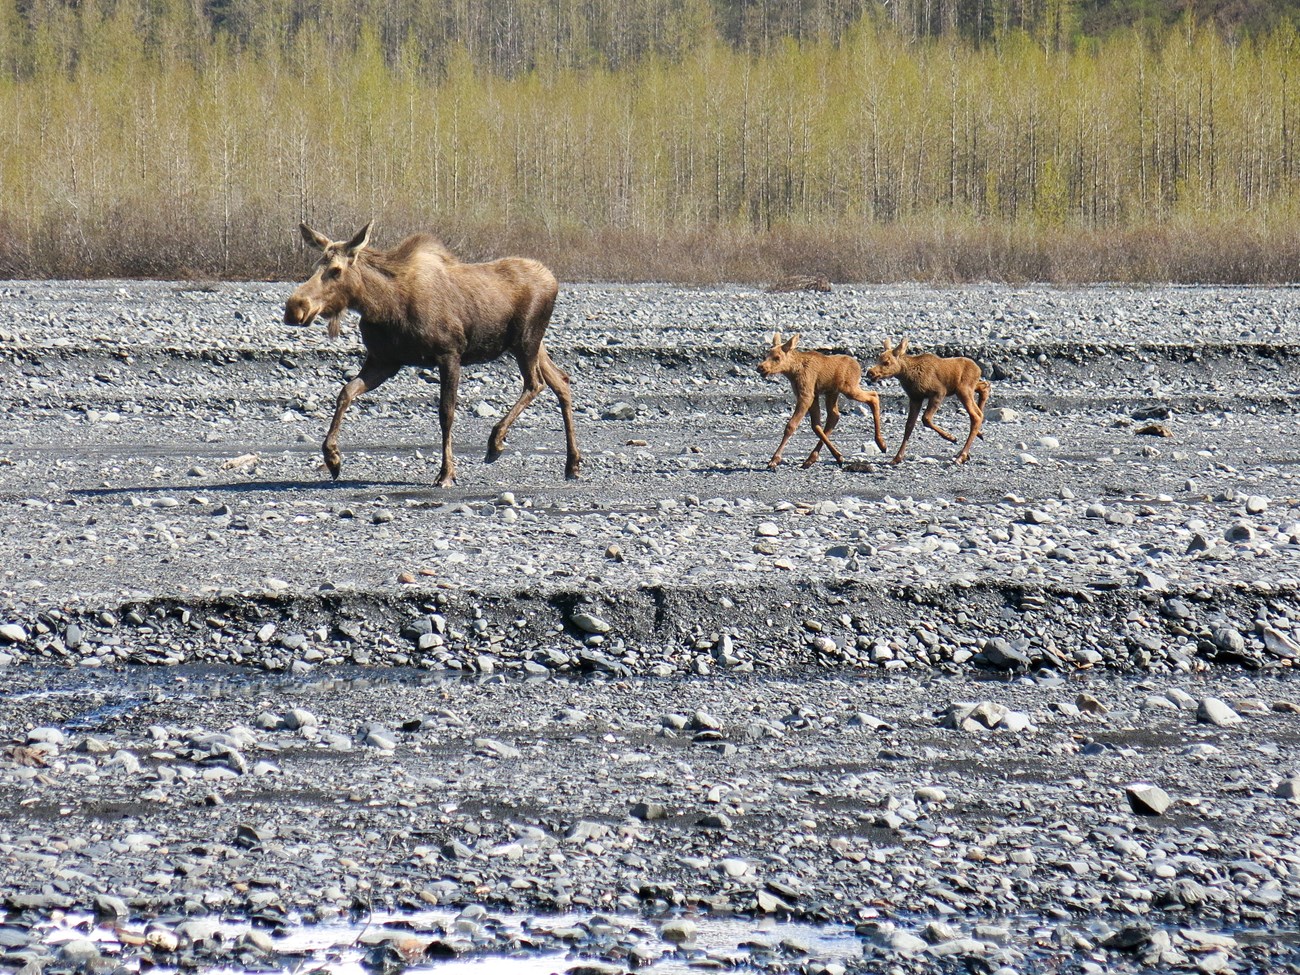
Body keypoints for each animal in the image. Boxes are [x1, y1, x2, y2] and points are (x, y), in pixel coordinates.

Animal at [283, 223, 581, 488]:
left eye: (336, 270)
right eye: (315, 266)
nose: (295, 307)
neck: (381, 304)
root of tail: (553, 280)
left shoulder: (449, 353)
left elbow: (446, 413)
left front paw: (447, 473)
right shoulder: (384, 361)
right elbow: (345, 392)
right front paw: (332, 458)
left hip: (526, 340)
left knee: (535, 383)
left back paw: (496, 443)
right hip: (533, 345)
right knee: (561, 381)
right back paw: (572, 463)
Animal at [757, 332, 888, 470]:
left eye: (777, 357)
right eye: (766, 355)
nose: (760, 367)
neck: (792, 372)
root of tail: (858, 367)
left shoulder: (807, 394)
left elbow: (791, 426)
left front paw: (774, 460)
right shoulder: (811, 395)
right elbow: (815, 425)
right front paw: (838, 456)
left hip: (849, 389)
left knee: (873, 396)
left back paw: (881, 444)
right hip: (832, 392)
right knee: (834, 416)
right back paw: (815, 458)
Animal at [866, 337, 991, 465]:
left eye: (886, 362)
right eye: (878, 359)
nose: (870, 372)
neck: (908, 376)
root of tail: (978, 369)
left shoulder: (939, 392)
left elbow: (925, 418)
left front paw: (951, 437)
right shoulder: (915, 398)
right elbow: (909, 426)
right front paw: (897, 458)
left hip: (963, 389)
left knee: (976, 415)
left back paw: (961, 456)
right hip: (967, 388)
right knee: (985, 387)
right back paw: (975, 439)